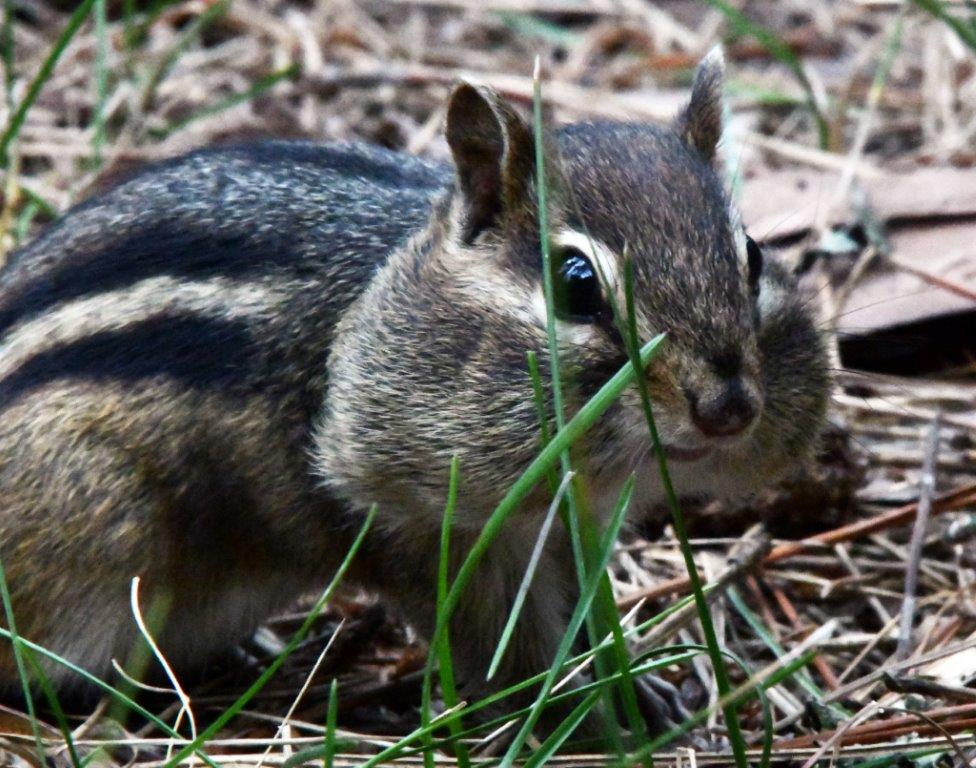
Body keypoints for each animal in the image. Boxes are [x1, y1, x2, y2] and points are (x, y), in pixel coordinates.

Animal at [0, 49, 828, 733]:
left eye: (753, 257)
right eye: (576, 283)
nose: (728, 408)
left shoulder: (574, 525)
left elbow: (581, 612)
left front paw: (639, 692)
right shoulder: (423, 527)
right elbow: (502, 646)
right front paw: (576, 714)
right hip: (100, 537)